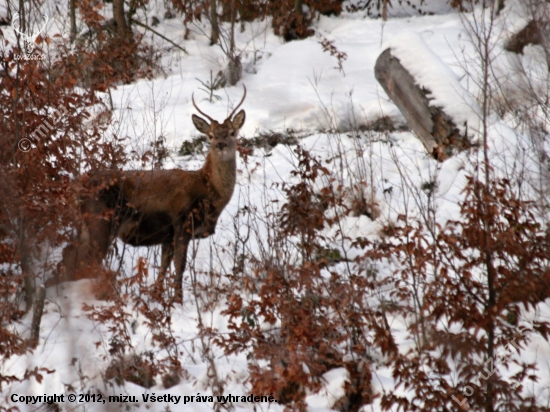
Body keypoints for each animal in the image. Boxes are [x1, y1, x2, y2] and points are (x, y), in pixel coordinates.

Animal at [59, 87, 247, 300]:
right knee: (82, 257)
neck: (209, 193)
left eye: (232, 132)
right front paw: (177, 299)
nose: (221, 145)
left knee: (69, 253)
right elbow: (179, 265)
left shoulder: (168, 234)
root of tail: (73, 189)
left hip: (86, 225)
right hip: (100, 221)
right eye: (211, 135)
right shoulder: (182, 222)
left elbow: (164, 266)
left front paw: (157, 296)